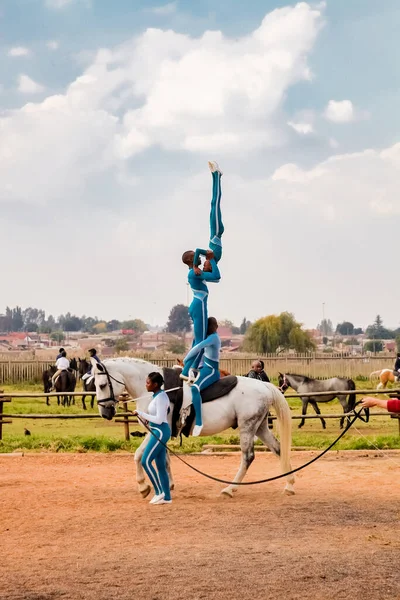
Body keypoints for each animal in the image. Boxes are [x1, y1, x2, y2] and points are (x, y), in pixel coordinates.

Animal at [92, 358, 296, 500]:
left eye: (102, 385)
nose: (105, 412)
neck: (155, 391)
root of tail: (264, 385)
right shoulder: (163, 433)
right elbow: (164, 459)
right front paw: (169, 485)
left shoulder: (157, 430)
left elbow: (138, 455)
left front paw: (143, 487)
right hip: (259, 427)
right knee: (279, 449)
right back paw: (289, 485)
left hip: (247, 426)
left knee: (248, 457)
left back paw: (230, 489)